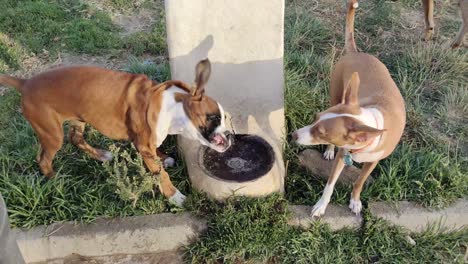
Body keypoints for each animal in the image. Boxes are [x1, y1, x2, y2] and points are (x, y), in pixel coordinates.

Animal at [0, 59, 234, 206]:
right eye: (214, 118)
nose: (230, 135)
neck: (173, 107)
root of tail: (25, 83)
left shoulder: (147, 144)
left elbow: (157, 155)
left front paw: (164, 157)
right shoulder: (143, 146)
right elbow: (160, 174)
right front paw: (174, 195)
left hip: (78, 120)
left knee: (75, 138)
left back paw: (101, 155)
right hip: (52, 134)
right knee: (43, 159)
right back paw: (55, 179)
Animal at [292, 0, 406, 217]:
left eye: (321, 132)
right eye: (315, 117)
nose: (293, 135)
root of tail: (355, 52)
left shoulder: (373, 162)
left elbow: (359, 182)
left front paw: (355, 201)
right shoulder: (341, 155)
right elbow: (329, 185)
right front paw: (320, 206)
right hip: (335, 93)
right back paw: (328, 152)